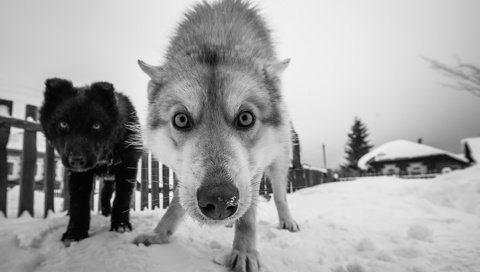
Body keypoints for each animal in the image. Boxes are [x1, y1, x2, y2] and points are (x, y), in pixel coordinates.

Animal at [39, 78, 142, 244]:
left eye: (96, 125)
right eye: (63, 124)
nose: (76, 160)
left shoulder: (128, 167)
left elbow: (123, 198)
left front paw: (121, 225)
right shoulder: (79, 175)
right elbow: (79, 203)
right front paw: (75, 232)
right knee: (105, 195)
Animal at [135, 1, 298, 270]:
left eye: (246, 118)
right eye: (181, 119)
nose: (220, 200)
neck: (216, 38)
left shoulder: (253, 169)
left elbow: (249, 216)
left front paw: (244, 252)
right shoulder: (184, 173)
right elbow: (176, 204)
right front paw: (158, 234)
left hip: (280, 159)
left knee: (280, 195)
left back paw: (287, 221)